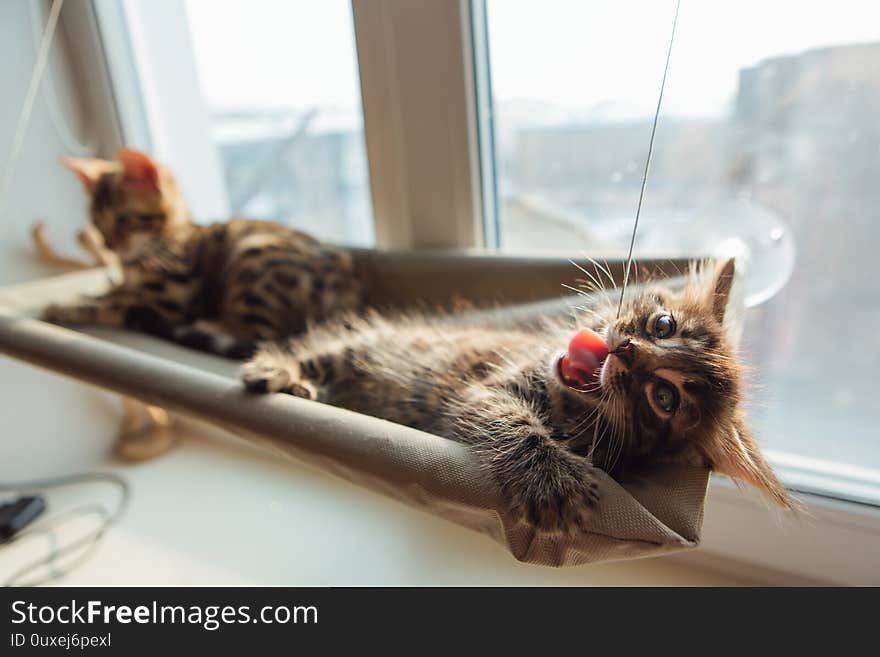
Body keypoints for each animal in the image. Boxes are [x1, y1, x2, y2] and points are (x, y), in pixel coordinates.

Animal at [43, 148, 360, 356]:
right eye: (97, 222)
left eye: (123, 220)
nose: (109, 246)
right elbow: (109, 293)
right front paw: (86, 295)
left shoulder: (170, 301)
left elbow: (110, 305)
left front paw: (65, 307)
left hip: (253, 255)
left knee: (261, 335)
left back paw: (210, 325)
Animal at [244, 258, 796, 532]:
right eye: (663, 325)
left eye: (665, 399)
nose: (628, 349)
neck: (568, 405)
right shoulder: (490, 388)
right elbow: (517, 423)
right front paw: (551, 479)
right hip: (373, 345)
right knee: (321, 349)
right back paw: (278, 370)